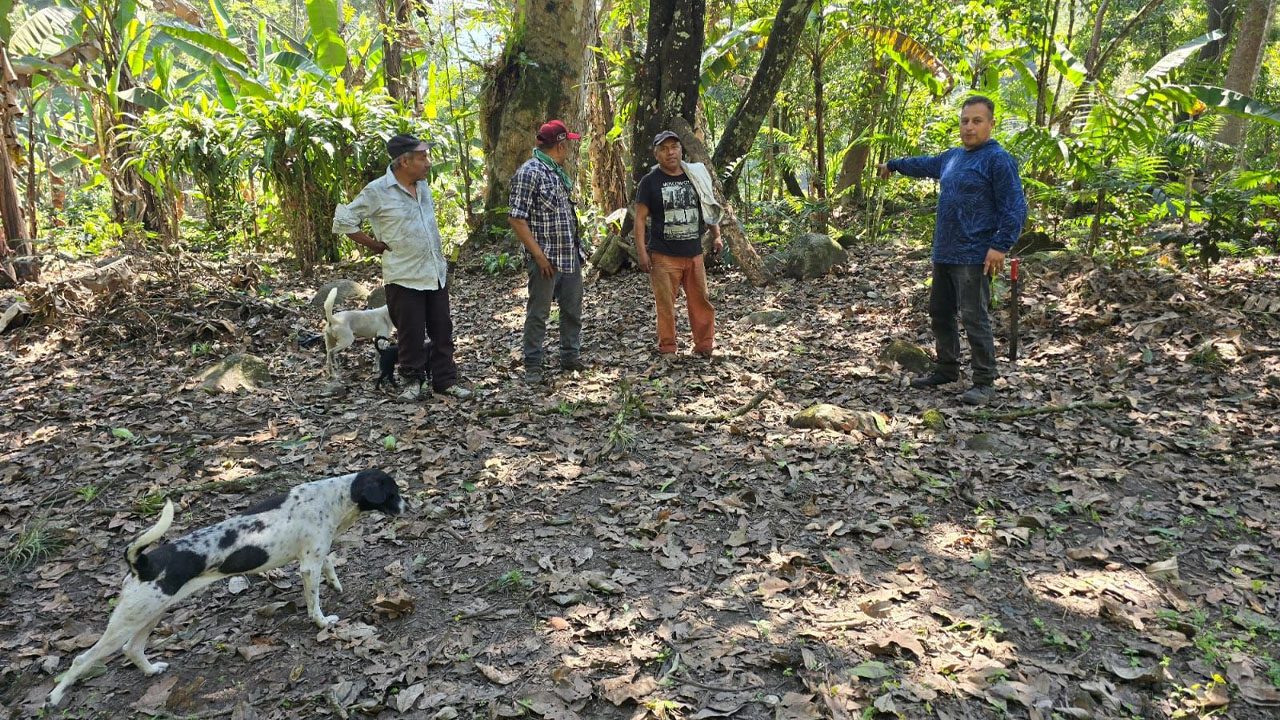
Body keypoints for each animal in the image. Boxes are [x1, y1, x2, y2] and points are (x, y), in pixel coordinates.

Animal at [46, 469, 403, 707]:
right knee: (82, 660)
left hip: (150, 614)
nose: (408, 506)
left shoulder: (315, 556)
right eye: (393, 493)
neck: (335, 497)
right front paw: (323, 622)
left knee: (132, 650)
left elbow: (330, 564)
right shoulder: (308, 564)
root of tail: (143, 563)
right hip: (127, 621)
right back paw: (55, 697)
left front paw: (336, 583)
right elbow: (314, 600)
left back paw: (151, 670)